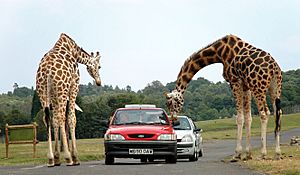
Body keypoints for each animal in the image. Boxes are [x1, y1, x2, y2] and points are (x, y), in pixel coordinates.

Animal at [36, 33, 102, 167]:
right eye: (99, 66)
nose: (99, 82)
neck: (74, 52)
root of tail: (46, 71)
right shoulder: (74, 85)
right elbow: (72, 118)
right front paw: (75, 157)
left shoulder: (53, 95)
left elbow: (55, 120)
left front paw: (57, 157)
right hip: (62, 90)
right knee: (61, 117)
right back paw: (68, 158)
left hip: (43, 92)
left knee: (48, 118)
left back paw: (51, 159)